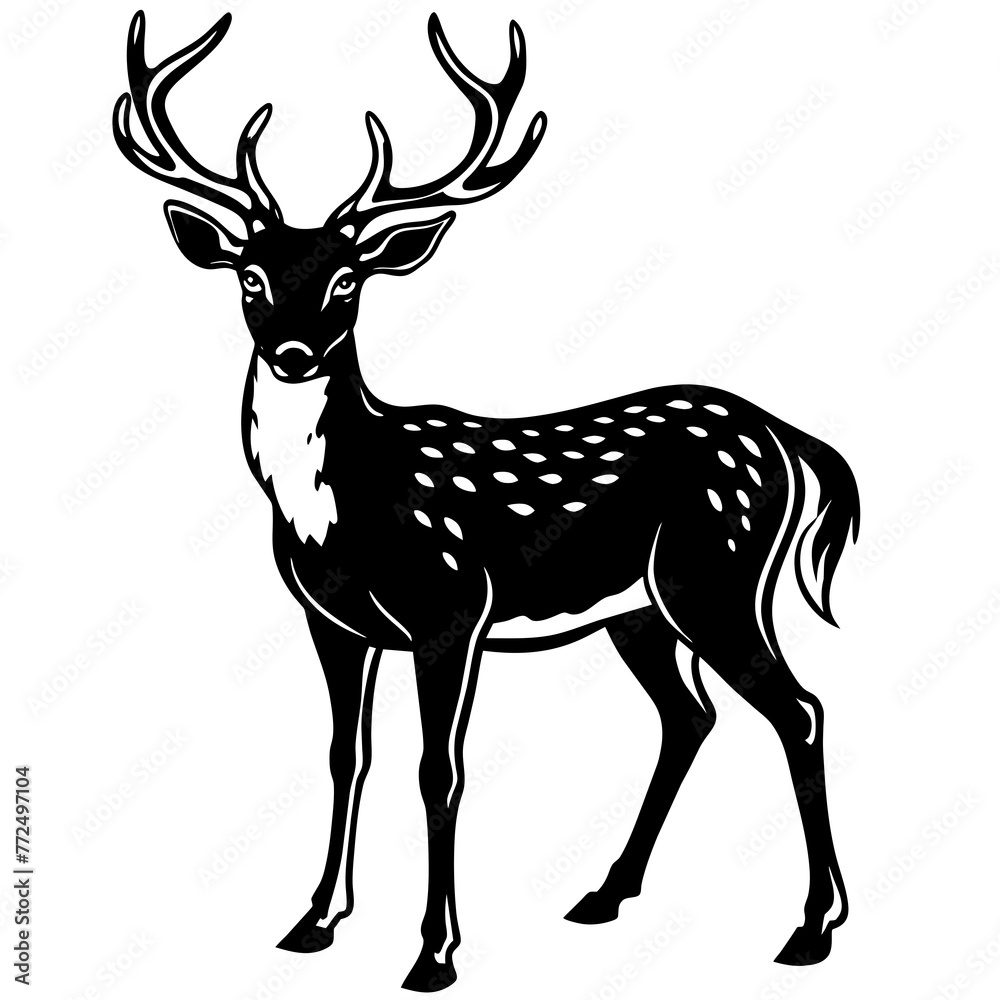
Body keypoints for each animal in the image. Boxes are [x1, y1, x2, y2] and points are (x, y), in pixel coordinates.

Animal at [114, 9, 860, 992]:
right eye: (251, 277)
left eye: (347, 280)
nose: (294, 354)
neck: (338, 513)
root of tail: (789, 439)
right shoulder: (331, 620)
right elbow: (344, 756)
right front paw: (314, 921)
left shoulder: (451, 607)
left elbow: (440, 769)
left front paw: (433, 952)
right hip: (641, 611)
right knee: (690, 715)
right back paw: (604, 894)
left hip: (718, 575)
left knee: (798, 709)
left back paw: (813, 928)